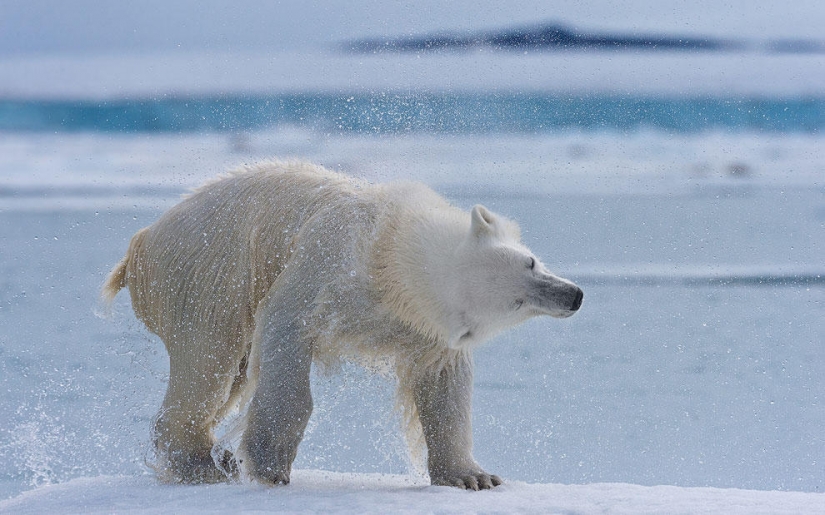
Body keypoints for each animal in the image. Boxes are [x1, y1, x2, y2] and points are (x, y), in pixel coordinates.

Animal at [101, 161, 583, 490]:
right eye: (517, 302)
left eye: (530, 262)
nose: (573, 296)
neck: (389, 247)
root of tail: (141, 241)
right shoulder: (329, 262)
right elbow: (286, 327)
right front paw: (269, 463)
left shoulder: (421, 323)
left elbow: (444, 382)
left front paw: (472, 477)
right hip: (208, 273)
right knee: (208, 363)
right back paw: (201, 463)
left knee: (229, 374)